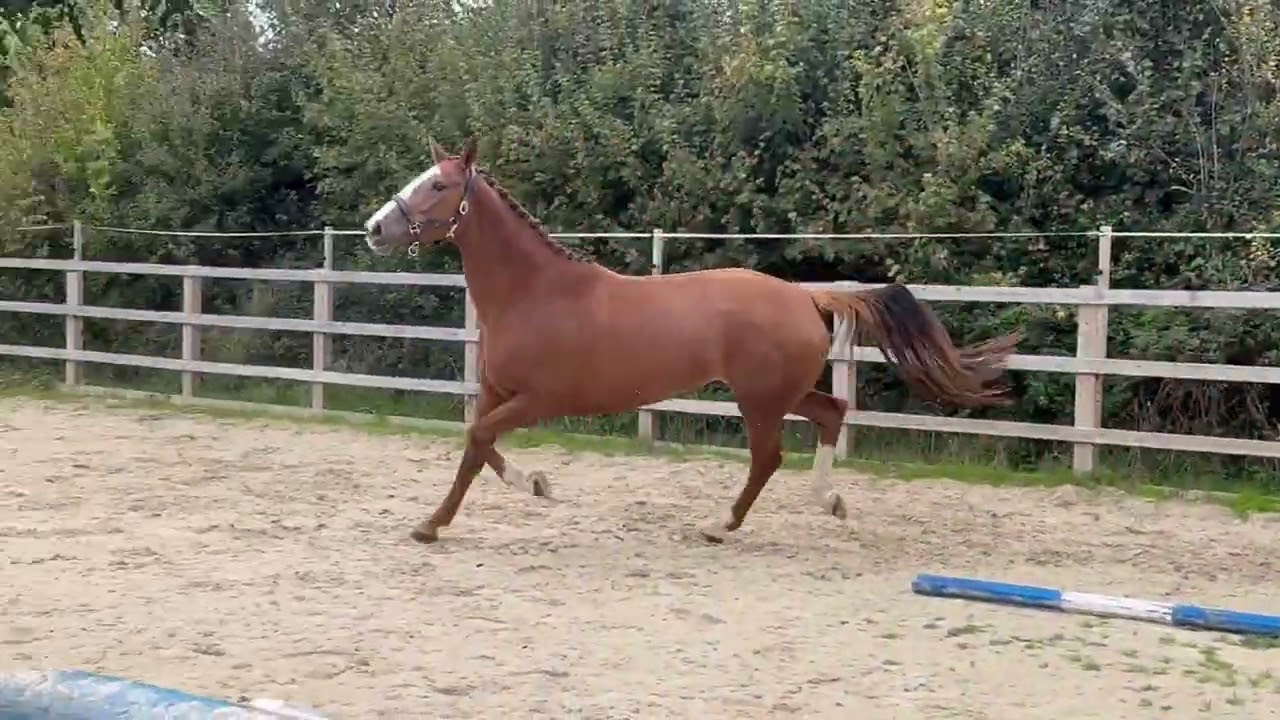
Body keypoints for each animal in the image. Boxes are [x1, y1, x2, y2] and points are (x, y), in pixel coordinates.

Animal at [363, 135, 1022, 545]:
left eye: (438, 186)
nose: (374, 229)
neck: (534, 294)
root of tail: (805, 297)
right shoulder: (498, 393)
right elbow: (478, 446)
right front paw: (530, 487)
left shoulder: (538, 400)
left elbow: (478, 439)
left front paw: (435, 523)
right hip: (780, 391)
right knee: (832, 412)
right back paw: (828, 501)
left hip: (759, 399)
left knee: (768, 457)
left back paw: (718, 525)